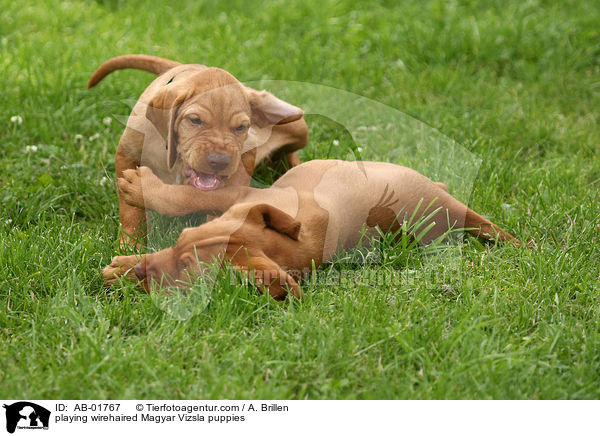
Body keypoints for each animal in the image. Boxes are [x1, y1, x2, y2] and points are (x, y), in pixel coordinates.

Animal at [88, 53, 310, 249]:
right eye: (195, 120)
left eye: (240, 127)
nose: (219, 161)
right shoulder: (126, 154)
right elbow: (131, 212)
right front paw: (129, 244)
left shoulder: (236, 188)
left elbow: (189, 197)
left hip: (299, 127)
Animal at [104, 160, 520, 300]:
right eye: (179, 242)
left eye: (188, 272)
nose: (136, 272)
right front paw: (124, 265)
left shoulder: (242, 192)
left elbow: (186, 197)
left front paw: (141, 186)